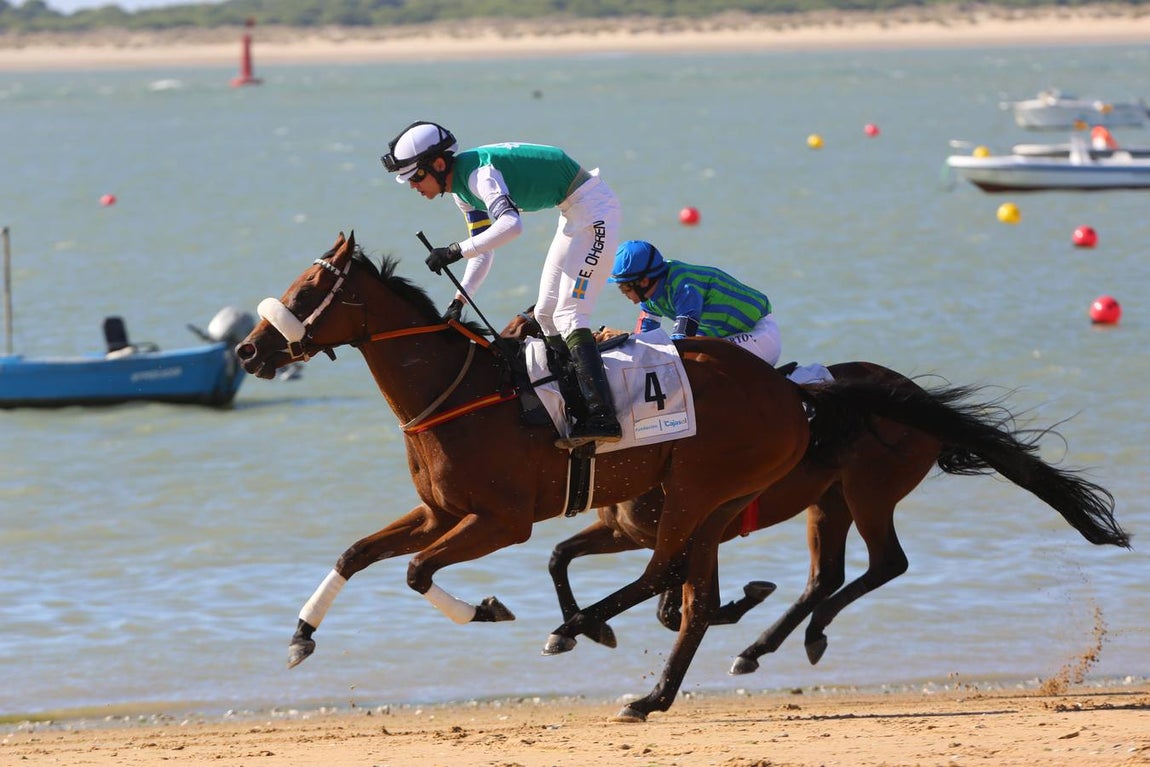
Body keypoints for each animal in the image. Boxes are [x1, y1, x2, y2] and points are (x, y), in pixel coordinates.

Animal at [500, 310, 1131, 675]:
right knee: (827, 575)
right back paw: (767, 645)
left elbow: (670, 597)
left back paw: (797, 635)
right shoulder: (629, 529)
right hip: (829, 502)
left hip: (869, 491)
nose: (521, 403)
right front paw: (586, 628)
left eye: (520, 338)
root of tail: (905, 394)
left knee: (886, 563)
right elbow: (562, 557)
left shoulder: (686, 523)